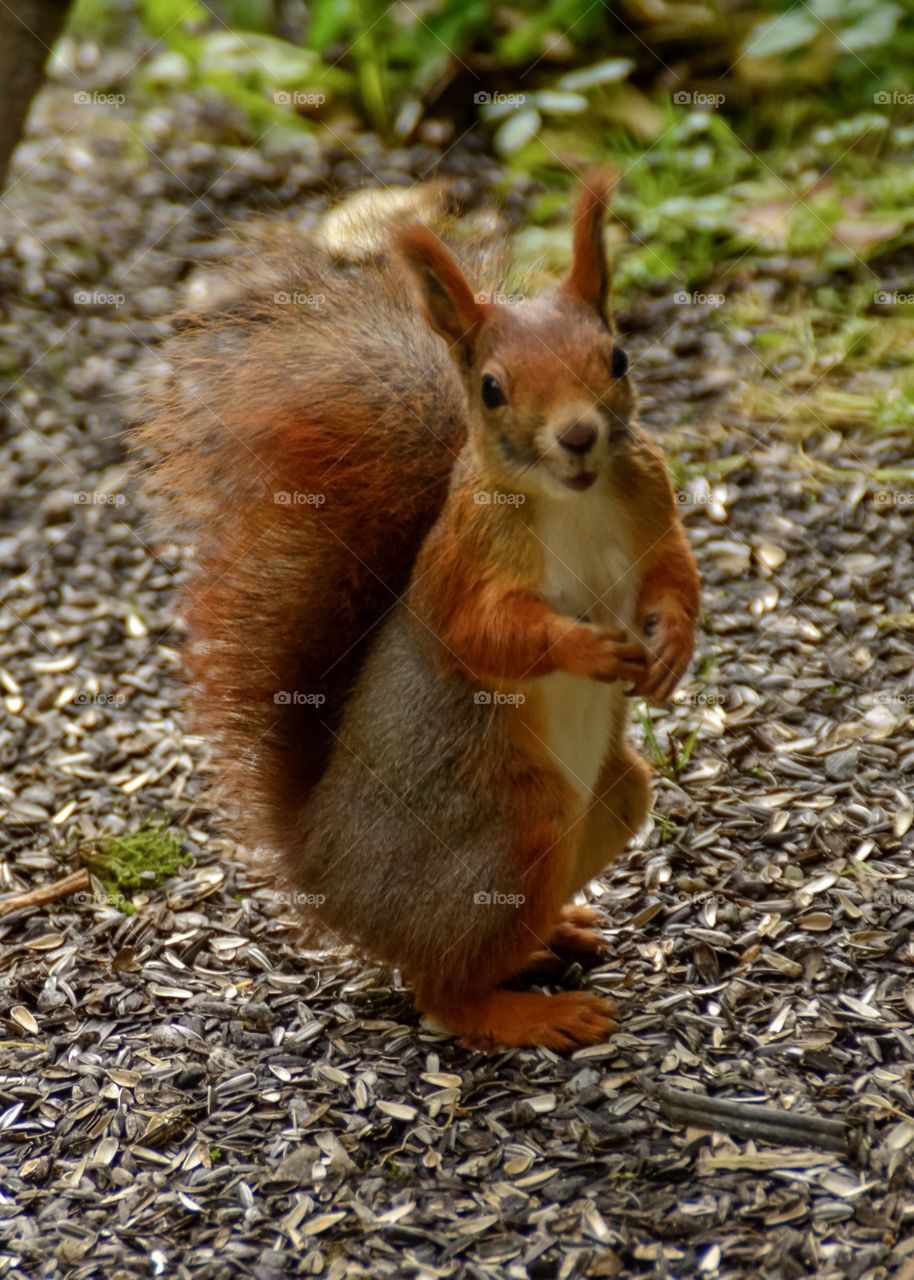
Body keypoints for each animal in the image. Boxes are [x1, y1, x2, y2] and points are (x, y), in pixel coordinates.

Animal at [144, 172, 696, 1049]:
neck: (570, 497)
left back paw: (555, 936)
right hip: (515, 835)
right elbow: (488, 635)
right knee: (440, 991)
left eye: (617, 358)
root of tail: (326, 877)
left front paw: (673, 643)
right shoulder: (462, 566)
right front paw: (587, 649)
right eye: (493, 389)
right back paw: (532, 1012)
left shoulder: (653, 508)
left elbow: (676, 575)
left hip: (614, 800)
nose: (577, 437)